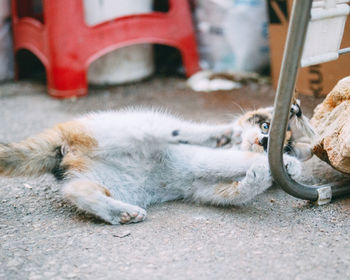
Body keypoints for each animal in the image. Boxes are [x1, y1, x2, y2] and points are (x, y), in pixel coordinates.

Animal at [0, 104, 312, 224]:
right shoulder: (201, 159)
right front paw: (280, 165)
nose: (263, 140)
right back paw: (217, 134)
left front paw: (266, 174)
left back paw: (119, 212)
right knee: (168, 131)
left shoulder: (201, 188)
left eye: (275, 141)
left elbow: (232, 191)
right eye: (266, 126)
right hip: (132, 125)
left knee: (76, 190)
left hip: (112, 181)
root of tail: (65, 135)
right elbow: (229, 160)